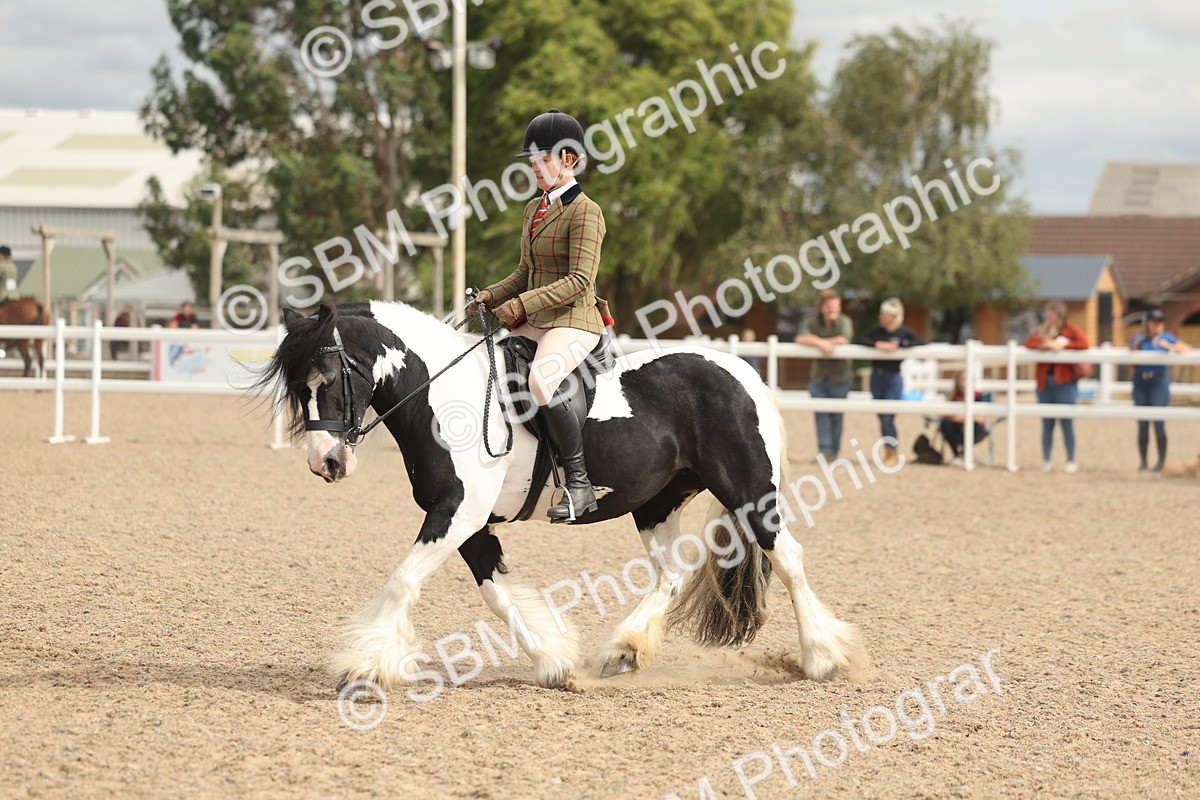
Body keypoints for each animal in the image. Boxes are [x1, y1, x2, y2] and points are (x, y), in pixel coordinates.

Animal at [255, 299, 866, 691]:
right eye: (298, 387)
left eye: (327, 376)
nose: (326, 462)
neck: (444, 395)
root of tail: (741, 370)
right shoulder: (469, 523)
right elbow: (496, 593)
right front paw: (552, 662)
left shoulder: (456, 512)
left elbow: (403, 580)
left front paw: (362, 666)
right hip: (657, 503)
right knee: (670, 574)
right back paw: (624, 650)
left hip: (749, 491)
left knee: (787, 558)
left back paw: (822, 658)